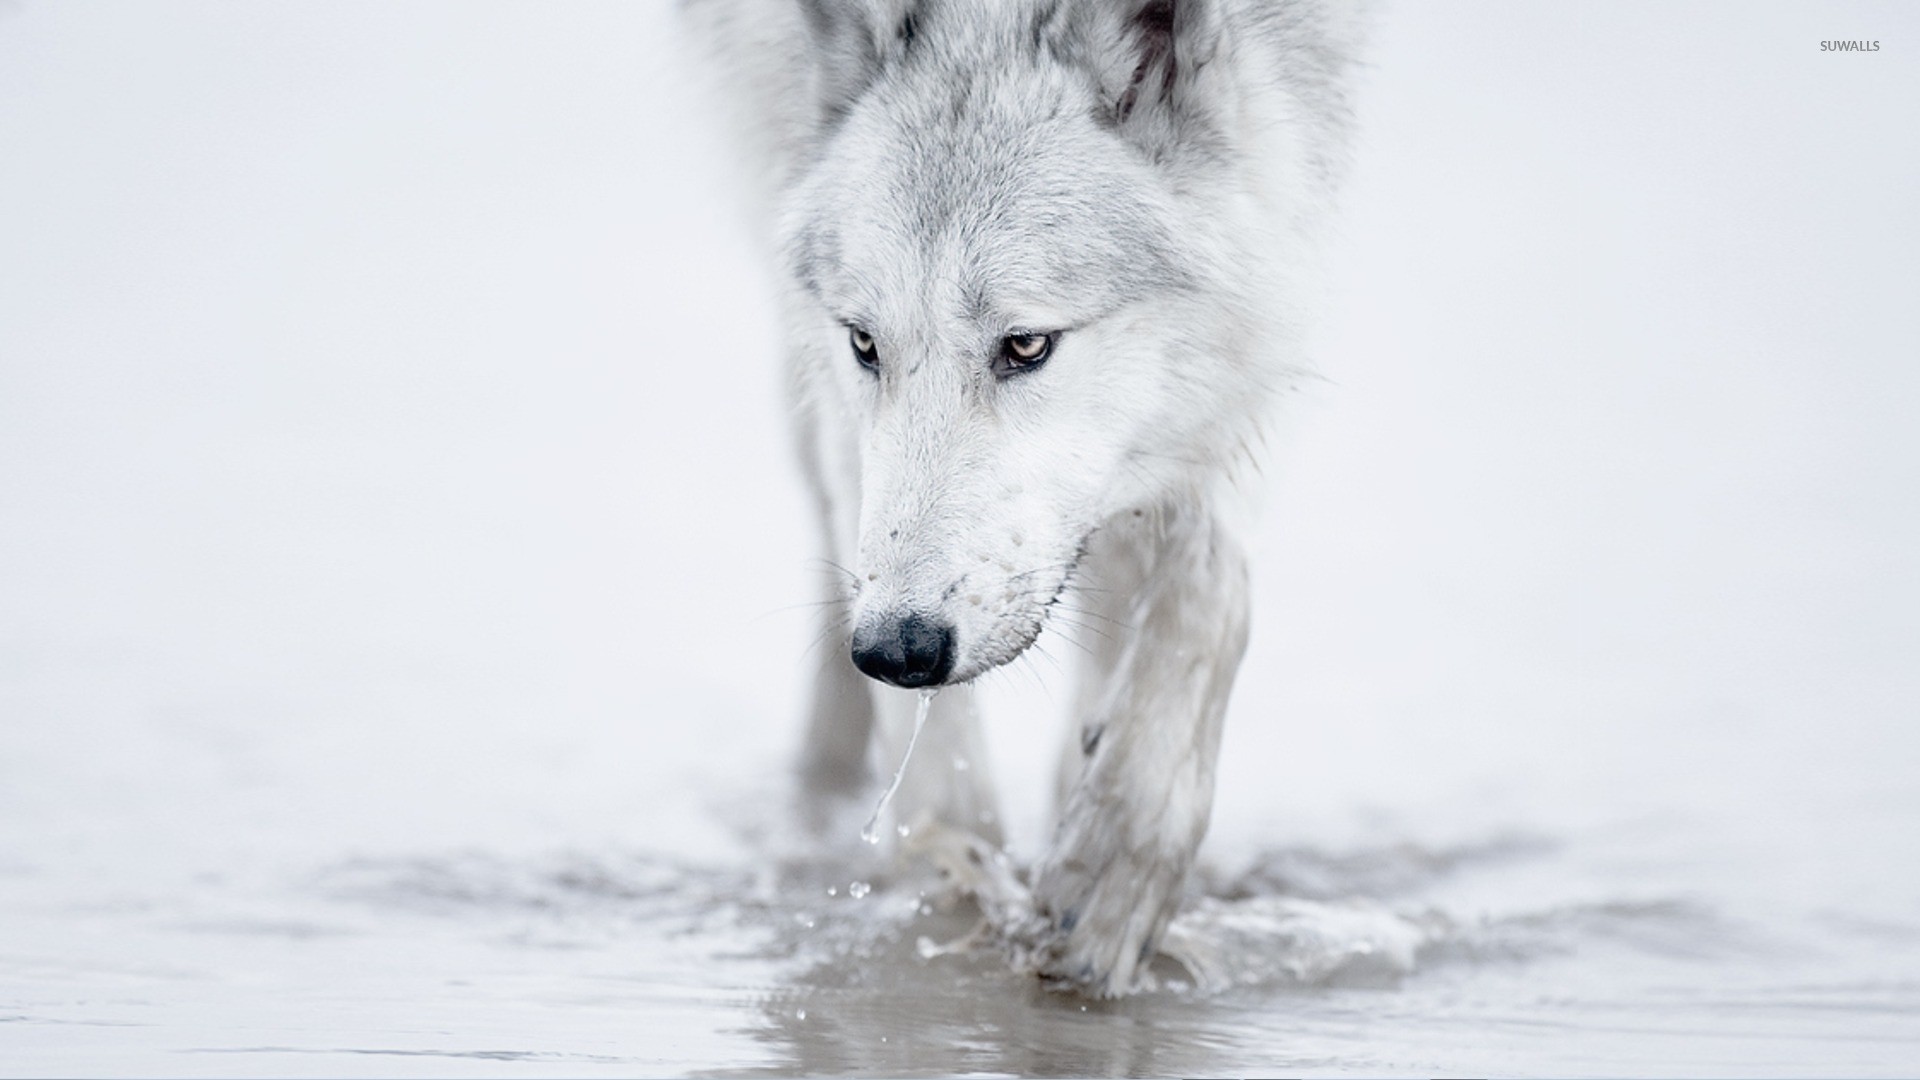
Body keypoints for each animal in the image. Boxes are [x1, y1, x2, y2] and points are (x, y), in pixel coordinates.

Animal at [682, 0, 1362, 996]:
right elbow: (940, 770)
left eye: (1027, 345)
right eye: (864, 343)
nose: (896, 648)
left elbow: (1209, 586)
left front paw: (1112, 864)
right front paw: (956, 891)